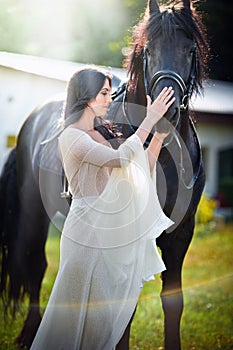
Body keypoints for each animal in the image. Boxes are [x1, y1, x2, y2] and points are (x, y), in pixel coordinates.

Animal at [0, 0, 208, 350]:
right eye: (148, 49)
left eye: (190, 49)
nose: (164, 113)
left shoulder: (181, 234)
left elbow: (172, 301)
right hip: (33, 216)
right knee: (35, 266)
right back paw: (30, 333)